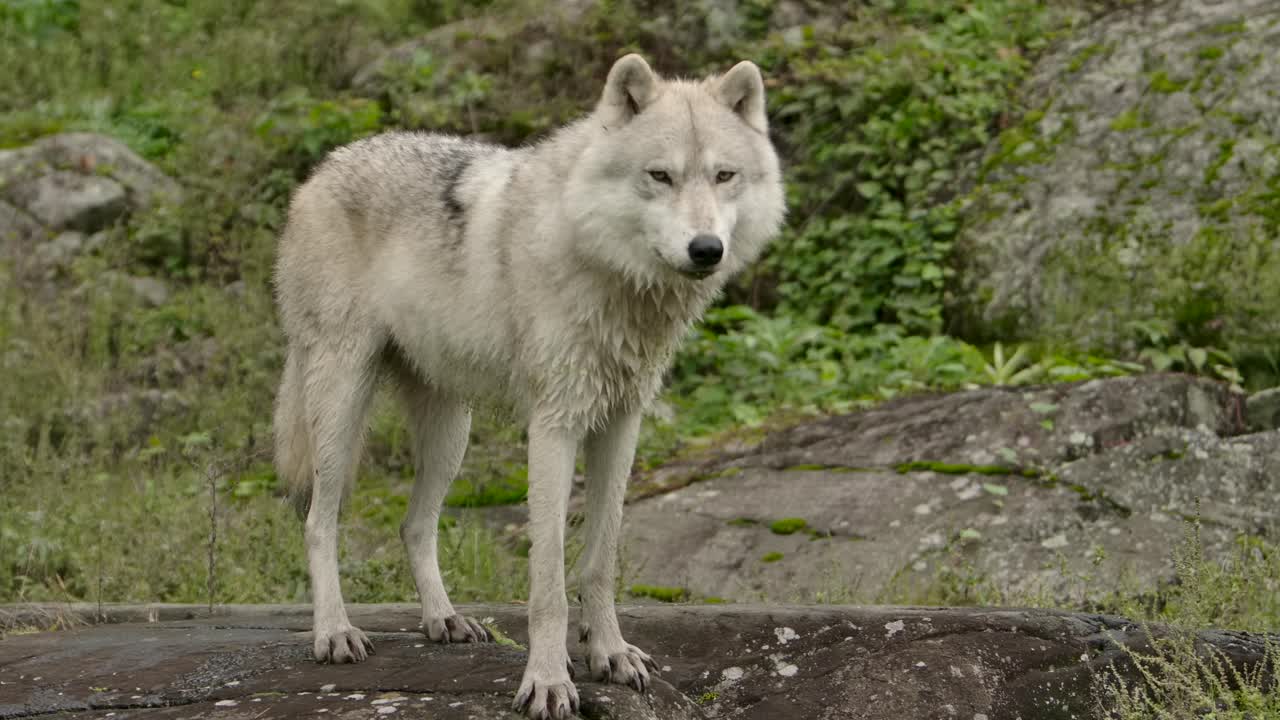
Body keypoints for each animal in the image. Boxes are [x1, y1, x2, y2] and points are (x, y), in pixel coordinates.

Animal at [272, 53, 785, 718]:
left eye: (724, 175)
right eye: (660, 176)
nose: (706, 249)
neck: (607, 270)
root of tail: (323, 168)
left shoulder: (622, 424)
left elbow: (599, 560)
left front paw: (610, 654)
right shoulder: (554, 426)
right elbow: (548, 582)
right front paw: (547, 681)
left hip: (451, 434)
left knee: (415, 524)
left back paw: (444, 620)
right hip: (341, 410)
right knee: (318, 521)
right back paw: (334, 632)